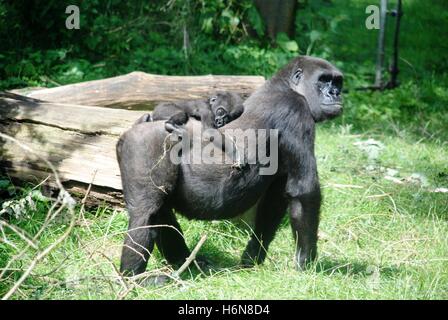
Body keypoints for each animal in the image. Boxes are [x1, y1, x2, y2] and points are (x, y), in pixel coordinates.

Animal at [116, 55, 344, 276]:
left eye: (337, 82)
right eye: (323, 80)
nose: (335, 94)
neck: (285, 85)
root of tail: (130, 131)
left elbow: (274, 203)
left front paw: (252, 257)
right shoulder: (296, 109)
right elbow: (304, 191)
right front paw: (306, 263)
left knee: (160, 212)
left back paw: (186, 264)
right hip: (144, 144)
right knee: (145, 213)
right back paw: (135, 278)